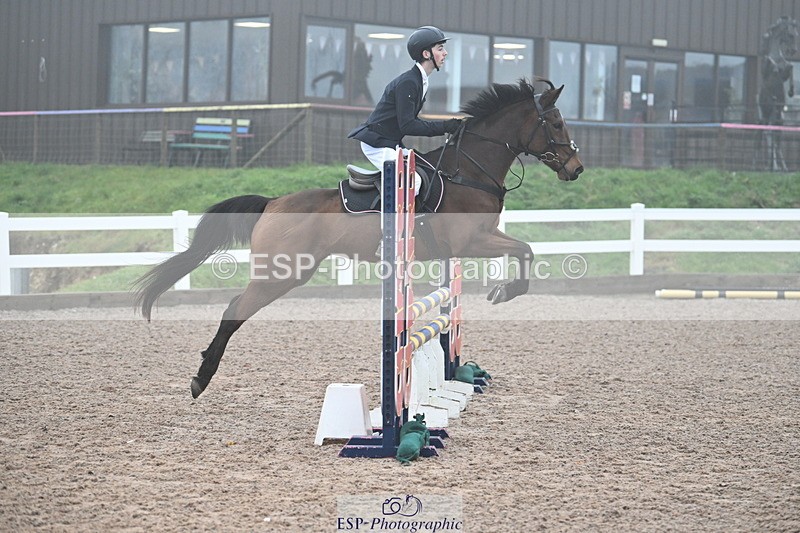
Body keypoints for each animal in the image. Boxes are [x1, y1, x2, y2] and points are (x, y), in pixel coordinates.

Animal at [135, 77, 584, 399]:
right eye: (556, 123)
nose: (576, 169)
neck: (468, 170)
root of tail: (273, 202)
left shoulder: (479, 239)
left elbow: (525, 250)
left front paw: (502, 292)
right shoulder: (472, 243)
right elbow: (526, 251)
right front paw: (505, 292)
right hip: (281, 273)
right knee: (233, 310)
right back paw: (201, 378)